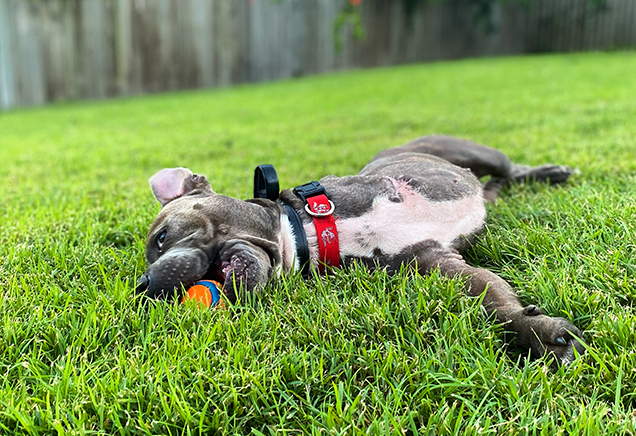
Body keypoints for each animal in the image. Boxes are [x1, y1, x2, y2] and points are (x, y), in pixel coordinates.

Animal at [137, 135, 584, 364]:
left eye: (161, 237)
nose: (143, 284)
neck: (312, 231)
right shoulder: (435, 263)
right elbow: (491, 297)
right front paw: (535, 332)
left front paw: (538, 333)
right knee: (499, 184)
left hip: (473, 153)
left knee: (508, 170)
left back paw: (552, 172)